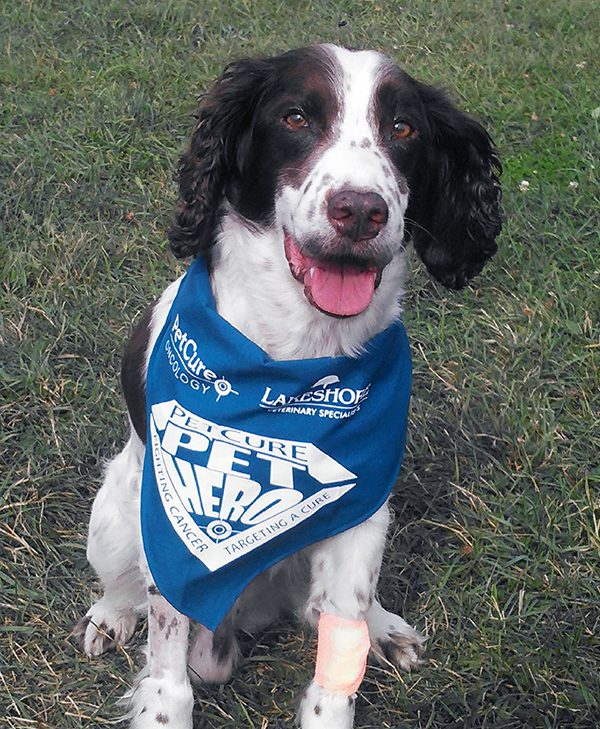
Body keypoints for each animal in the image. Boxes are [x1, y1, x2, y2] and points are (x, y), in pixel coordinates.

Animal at [75, 42, 502, 724]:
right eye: (296, 117)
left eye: (404, 129)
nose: (360, 211)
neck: (297, 361)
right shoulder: (174, 526)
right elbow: (167, 671)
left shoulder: (359, 515)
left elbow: (338, 663)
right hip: (116, 508)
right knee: (122, 585)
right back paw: (110, 615)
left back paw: (382, 626)